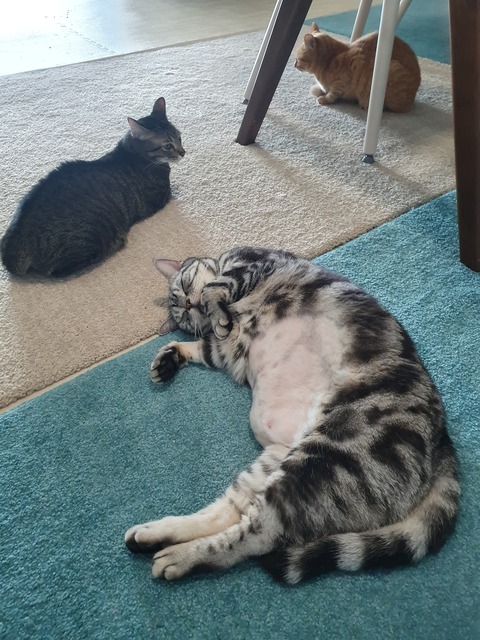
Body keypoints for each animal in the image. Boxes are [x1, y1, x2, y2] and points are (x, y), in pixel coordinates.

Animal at [0, 97, 184, 278]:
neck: (133, 154)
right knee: (56, 272)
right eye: (168, 146)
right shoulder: (162, 197)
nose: (183, 152)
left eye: (180, 138)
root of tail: (14, 247)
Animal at [124, 247, 459, 584]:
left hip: (321, 458)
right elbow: (201, 346)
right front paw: (169, 358)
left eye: (183, 287)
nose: (188, 304)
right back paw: (155, 535)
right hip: (289, 463)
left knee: (255, 533)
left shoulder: (251, 263)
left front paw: (210, 314)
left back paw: (177, 556)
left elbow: (214, 291)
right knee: (236, 516)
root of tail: (443, 441)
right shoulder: (222, 349)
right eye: (181, 312)